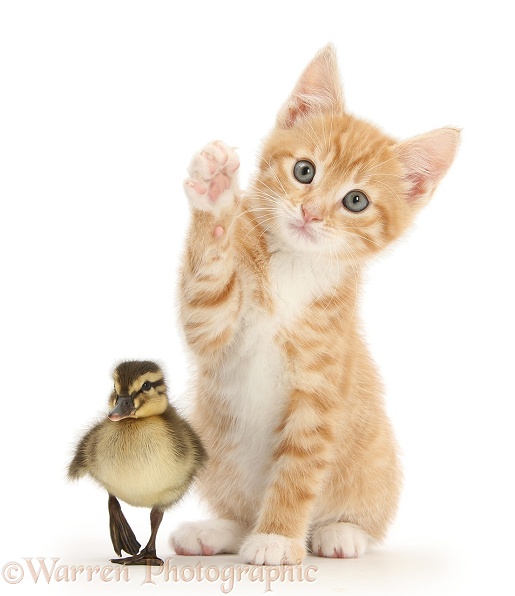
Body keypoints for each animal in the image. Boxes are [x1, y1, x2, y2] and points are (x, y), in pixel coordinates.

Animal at [171, 45, 462, 564]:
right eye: (304, 170)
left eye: (356, 201)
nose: (310, 213)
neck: (294, 266)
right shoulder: (213, 326)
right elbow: (206, 299)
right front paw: (216, 194)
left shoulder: (321, 393)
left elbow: (299, 470)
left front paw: (277, 537)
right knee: (239, 511)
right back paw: (220, 530)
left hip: (376, 464)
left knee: (362, 516)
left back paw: (338, 533)